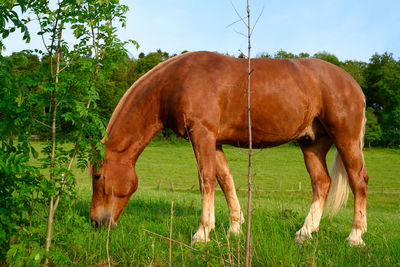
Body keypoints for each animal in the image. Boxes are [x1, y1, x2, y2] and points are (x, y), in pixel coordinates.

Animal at [90, 50, 368, 247]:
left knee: (358, 181)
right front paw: (234, 228)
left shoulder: (202, 135)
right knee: (322, 183)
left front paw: (202, 233)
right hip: (312, 144)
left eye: (97, 176)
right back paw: (305, 232)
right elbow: (225, 181)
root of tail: (353, 84)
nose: (95, 222)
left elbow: (206, 181)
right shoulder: (215, 141)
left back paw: (355, 237)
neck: (177, 81)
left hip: (346, 140)